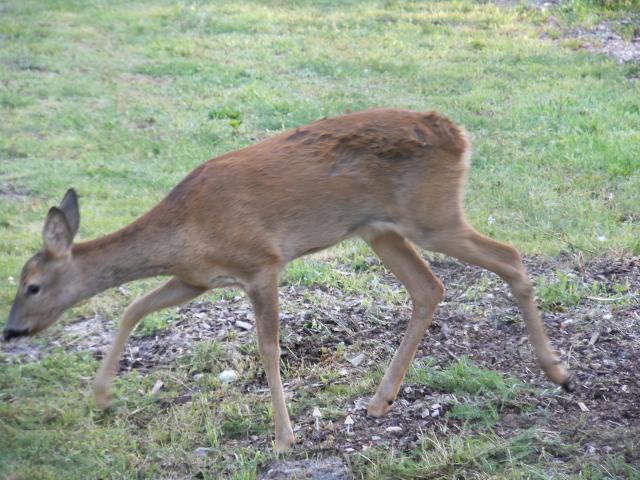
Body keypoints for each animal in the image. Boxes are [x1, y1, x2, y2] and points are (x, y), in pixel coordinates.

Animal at [0, 108, 568, 450]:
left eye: (32, 286)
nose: (11, 330)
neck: (182, 229)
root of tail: (459, 135)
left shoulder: (260, 263)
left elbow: (269, 349)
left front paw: (283, 435)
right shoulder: (196, 278)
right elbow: (132, 308)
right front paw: (101, 398)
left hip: (432, 217)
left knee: (509, 255)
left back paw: (557, 371)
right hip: (379, 228)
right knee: (430, 287)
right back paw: (380, 399)